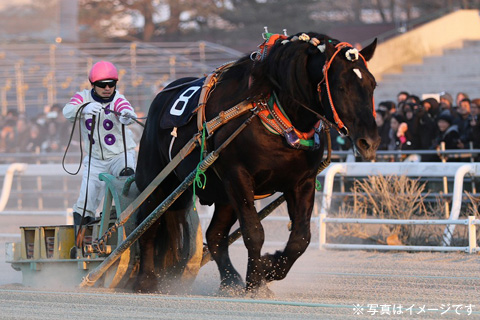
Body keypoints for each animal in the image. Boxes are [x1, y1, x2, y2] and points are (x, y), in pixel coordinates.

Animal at [133, 32, 380, 296]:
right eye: (341, 86)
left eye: (372, 85)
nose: (369, 141)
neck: (273, 113)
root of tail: (162, 95)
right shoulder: (238, 176)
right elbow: (254, 232)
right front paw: (255, 282)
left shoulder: (302, 181)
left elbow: (301, 237)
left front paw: (269, 266)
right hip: (158, 182)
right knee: (147, 225)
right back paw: (145, 280)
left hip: (222, 196)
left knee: (215, 235)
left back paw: (230, 280)